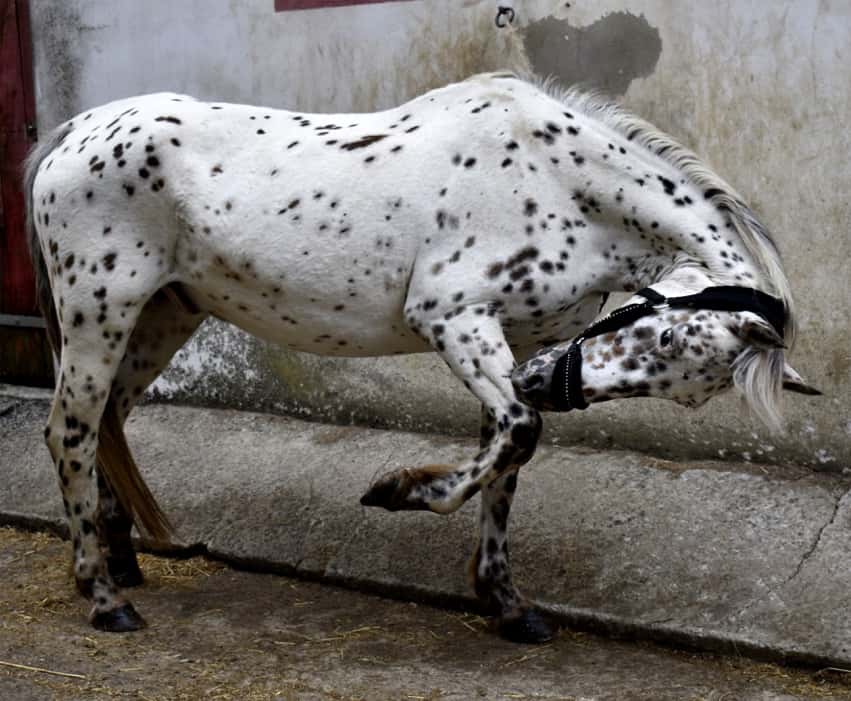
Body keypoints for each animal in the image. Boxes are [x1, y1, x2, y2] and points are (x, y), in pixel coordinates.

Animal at [24, 72, 817, 644]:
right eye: (664, 335)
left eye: (685, 390)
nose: (548, 382)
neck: (561, 182)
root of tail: (75, 131)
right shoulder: (454, 319)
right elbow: (517, 432)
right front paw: (398, 490)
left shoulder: (518, 342)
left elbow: (507, 460)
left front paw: (507, 603)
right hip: (101, 313)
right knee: (69, 432)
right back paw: (103, 597)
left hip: (165, 316)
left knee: (107, 424)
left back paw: (123, 564)